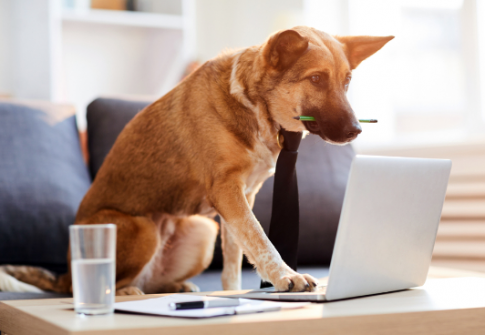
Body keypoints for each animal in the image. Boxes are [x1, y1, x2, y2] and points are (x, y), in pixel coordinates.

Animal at [0, 26, 394, 296]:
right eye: (316, 79)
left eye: (347, 81)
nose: (357, 130)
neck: (255, 106)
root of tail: (65, 275)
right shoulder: (227, 192)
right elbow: (260, 238)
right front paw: (286, 276)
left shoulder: (240, 201)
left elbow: (238, 253)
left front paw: (235, 292)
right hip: (142, 228)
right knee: (106, 280)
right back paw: (126, 291)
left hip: (203, 230)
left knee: (157, 281)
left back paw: (176, 287)